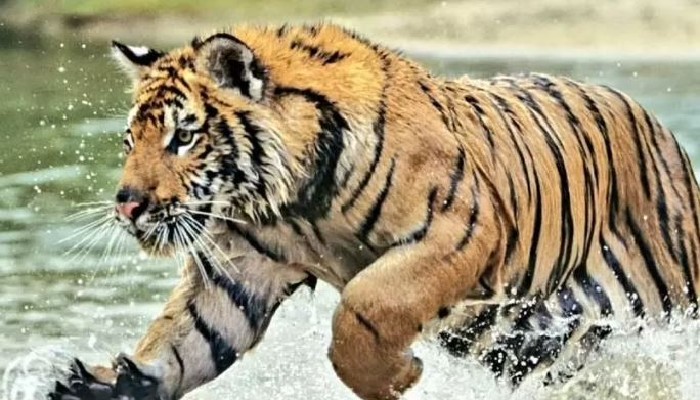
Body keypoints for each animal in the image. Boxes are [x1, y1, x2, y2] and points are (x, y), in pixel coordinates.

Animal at [47, 22, 700, 400]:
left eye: (183, 137)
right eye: (130, 142)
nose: (127, 205)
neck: (291, 204)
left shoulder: (458, 231)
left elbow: (366, 306)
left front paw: (395, 377)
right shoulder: (238, 273)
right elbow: (186, 339)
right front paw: (106, 384)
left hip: (663, 298)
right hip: (537, 338)